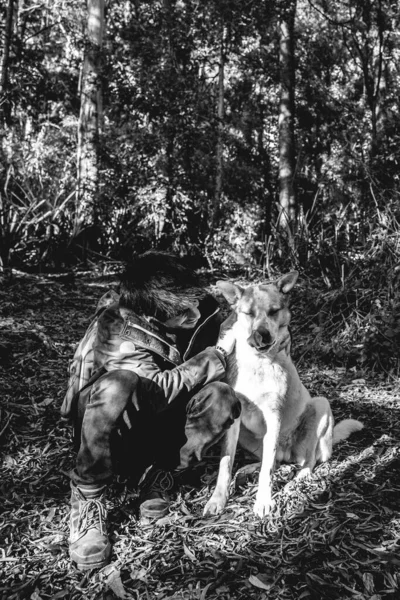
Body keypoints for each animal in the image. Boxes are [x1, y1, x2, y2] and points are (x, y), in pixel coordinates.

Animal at [178, 272, 362, 516]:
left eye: (274, 311)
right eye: (248, 313)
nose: (261, 334)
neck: (258, 363)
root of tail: (288, 453)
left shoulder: (273, 415)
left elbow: (268, 468)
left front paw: (263, 501)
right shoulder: (235, 419)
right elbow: (226, 463)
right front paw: (218, 499)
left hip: (320, 407)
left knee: (306, 459)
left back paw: (299, 478)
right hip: (248, 437)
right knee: (273, 460)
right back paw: (247, 469)